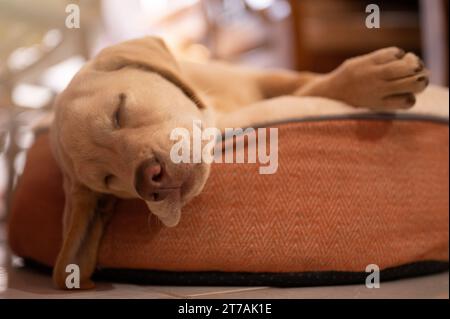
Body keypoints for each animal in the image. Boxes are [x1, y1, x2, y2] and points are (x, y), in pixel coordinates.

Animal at [49, 35, 428, 290]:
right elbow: (307, 92)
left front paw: (364, 76)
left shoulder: (259, 77)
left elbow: (305, 81)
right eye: (109, 179)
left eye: (120, 112)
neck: (219, 106)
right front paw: (367, 81)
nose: (149, 180)